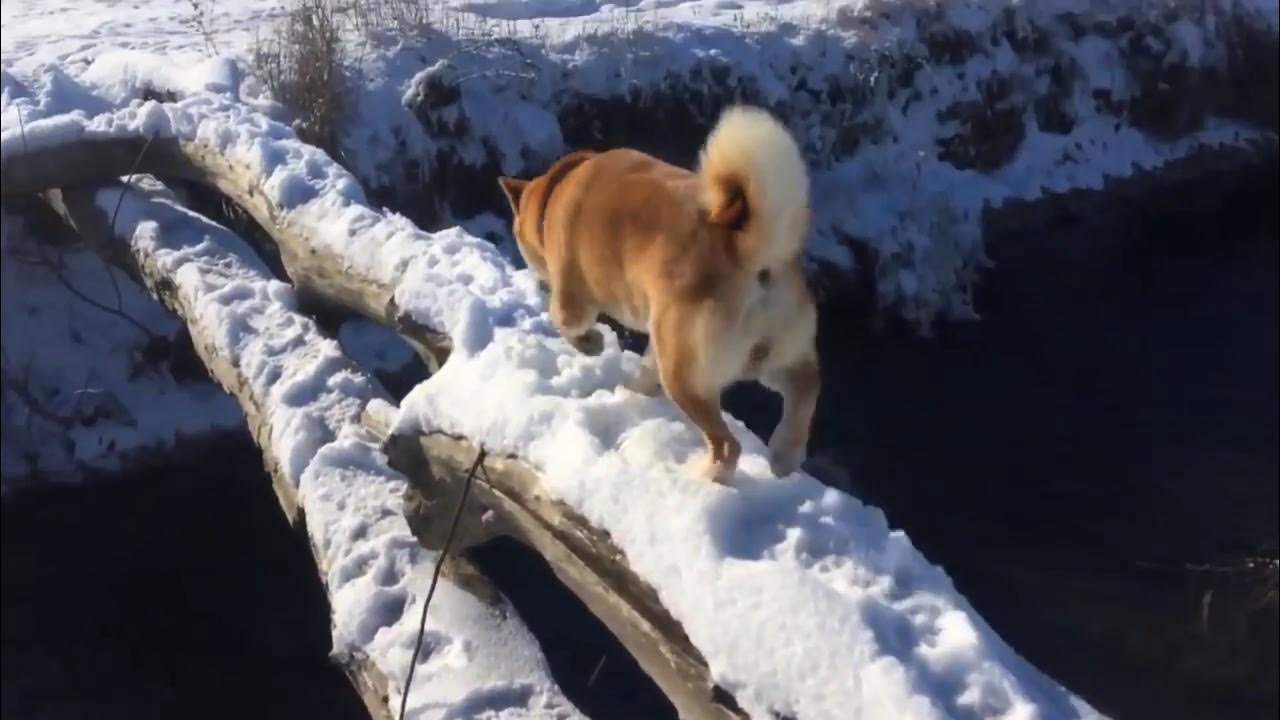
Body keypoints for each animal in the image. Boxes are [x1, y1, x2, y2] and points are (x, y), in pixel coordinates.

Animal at [499, 103, 819, 481]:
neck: (557, 191)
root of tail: (751, 250)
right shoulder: (658, 331)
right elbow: (646, 371)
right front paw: (632, 392)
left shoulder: (573, 301)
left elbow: (566, 324)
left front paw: (592, 344)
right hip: (768, 353)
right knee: (806, 383)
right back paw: (785, 453)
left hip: (686, 372)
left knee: (728, 444)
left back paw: (707, 476)